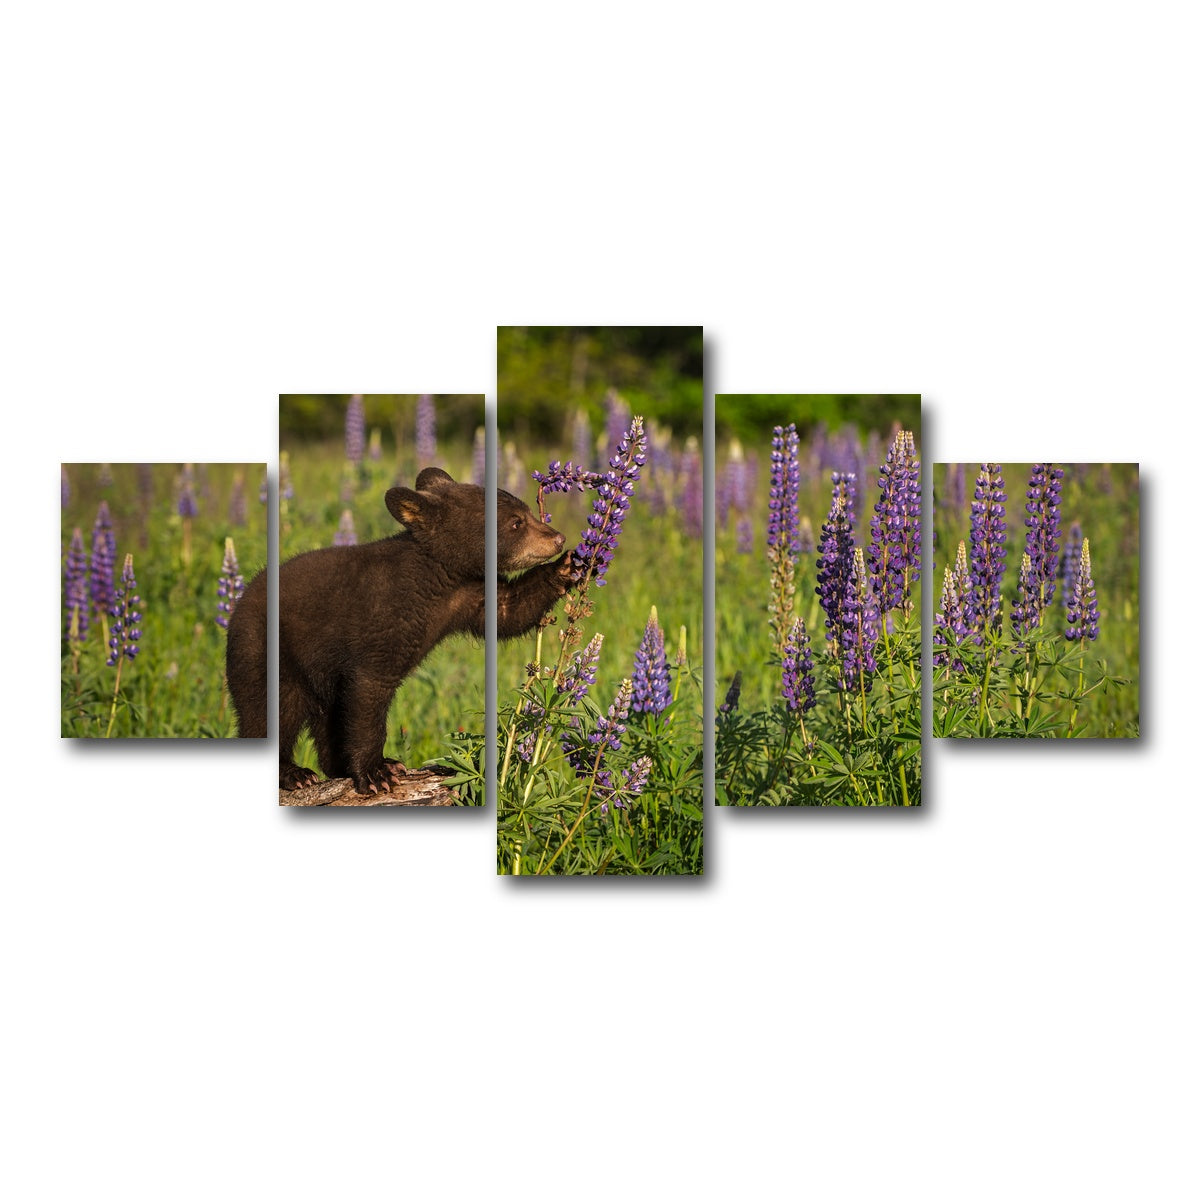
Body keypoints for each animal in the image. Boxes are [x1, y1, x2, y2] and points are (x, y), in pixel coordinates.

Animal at [225, 467, 575, 794]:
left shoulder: (470, 594)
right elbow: (369, 691)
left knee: (328, 716)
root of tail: (239, 605)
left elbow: (509, 610)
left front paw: (567, 567)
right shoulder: (382, 621)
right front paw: (377, 772)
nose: (558, 538)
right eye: (516, 522)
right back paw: (294, 774)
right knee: (269, 710)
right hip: (264, 649)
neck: (439, 577)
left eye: (527, 512)